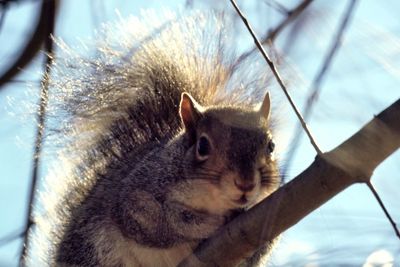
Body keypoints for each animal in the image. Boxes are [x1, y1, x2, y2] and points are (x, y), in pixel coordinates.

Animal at [26, 11, 280, 267]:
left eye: (271, 146)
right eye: (202, 145)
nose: (245, 184)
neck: (214, 200)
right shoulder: (139, 193)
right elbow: (166, 222)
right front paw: (211, 223)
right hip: (91, 252)